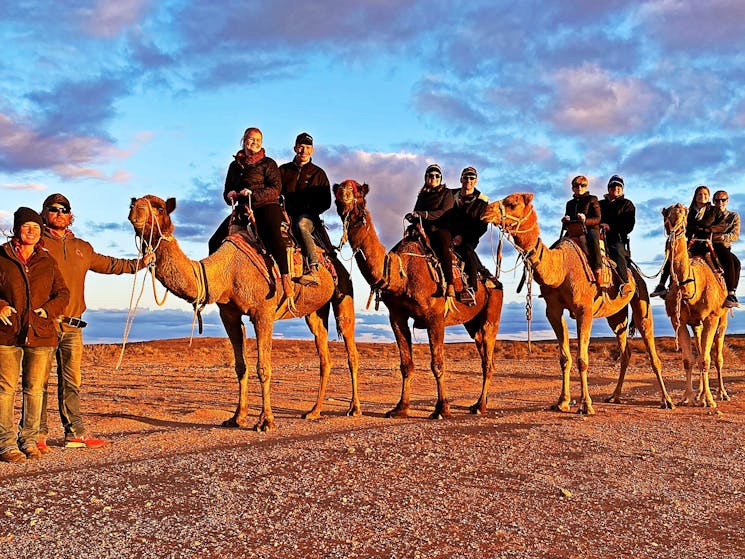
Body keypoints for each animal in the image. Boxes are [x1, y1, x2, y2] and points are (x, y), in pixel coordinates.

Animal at [128, 195, 360, 430]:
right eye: (134, 202)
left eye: (159, 208)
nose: (135, 209)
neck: (228, 270)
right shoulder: (229, 315)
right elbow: (241, 366)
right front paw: (237, 417)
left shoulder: (263, 312)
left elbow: (263, 367)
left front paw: (266, 421)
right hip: (315, 312)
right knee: (324, 354)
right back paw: (314, 411)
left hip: (344, 292)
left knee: (350, 346)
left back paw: (354, 408)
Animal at [334, 182, 502, 418]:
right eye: (337, 192)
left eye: (358, 192)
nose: (344, 195)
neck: (400, 272)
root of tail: (493, 280)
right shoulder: (397, 316)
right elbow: (406, 364)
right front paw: (400, 408)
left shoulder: (435, 317)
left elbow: (437, 364)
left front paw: (442, 409)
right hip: (472, 324)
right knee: (482, 351)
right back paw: (477, 404)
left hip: (491, 315)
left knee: (488, 360)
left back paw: (480, 406)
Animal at [482, 192, 676, 416]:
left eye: (512, 203)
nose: (486, 210)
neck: (561, 267)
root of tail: (633, 271)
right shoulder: (553, 311)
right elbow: (564, 358)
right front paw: (562, 402)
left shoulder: (584, 310)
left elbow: (582, 359)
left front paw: (586, 405)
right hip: (616, 315)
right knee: (625, 350)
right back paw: (615, 396)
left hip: (641, 299)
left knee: (651, 348)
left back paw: (667, 400)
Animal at [660, 203, 728, 410]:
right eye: (666, 215)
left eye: (683, 214)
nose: (674, 231)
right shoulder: (678, 321)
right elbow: (689, 360)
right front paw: (688, 397)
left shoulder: (711, 318)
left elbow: (706, 360)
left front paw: (710, 400)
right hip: (696, 324)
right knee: (699, 351)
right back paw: (699, 395)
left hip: (722, 319)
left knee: (717, 356)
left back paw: (721, 393)